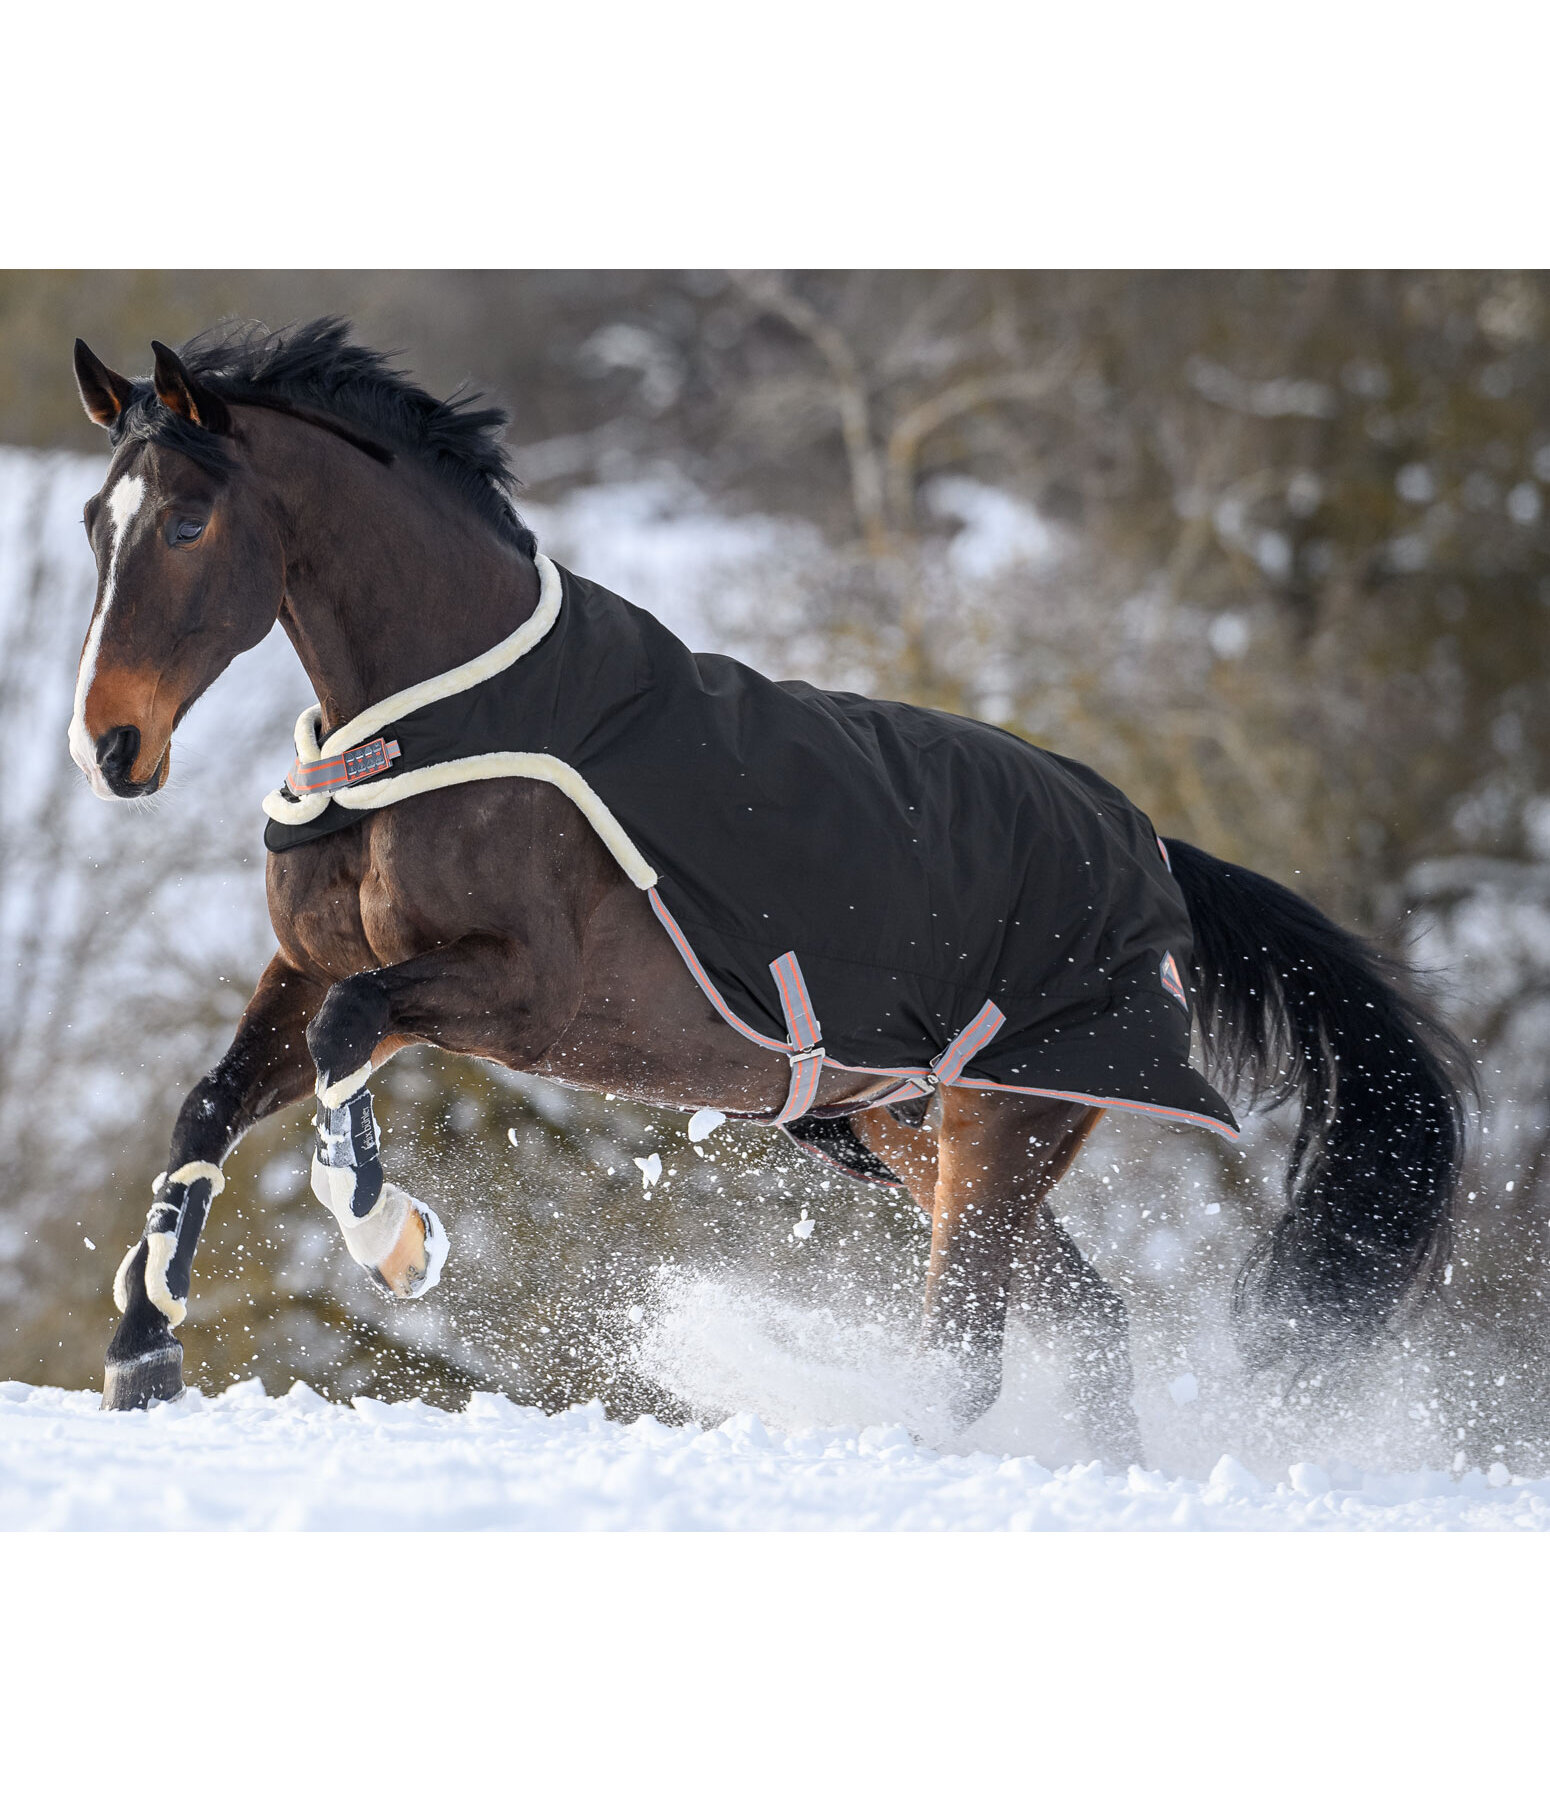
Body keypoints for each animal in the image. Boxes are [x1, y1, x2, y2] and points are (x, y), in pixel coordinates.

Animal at [72, 320, 1468, 1461]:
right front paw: (142, 1351)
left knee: (967, 1352)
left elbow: (346, 1033)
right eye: (96, 521)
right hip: (903, 1131)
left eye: (187, 524)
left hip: (1004, 1120)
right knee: (1086, 1320)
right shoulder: (306, 962)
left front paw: (394, 1241)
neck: (432, 731)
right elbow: (212, 1103)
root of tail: (1154, 852)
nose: (110, 748)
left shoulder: (520, 999)